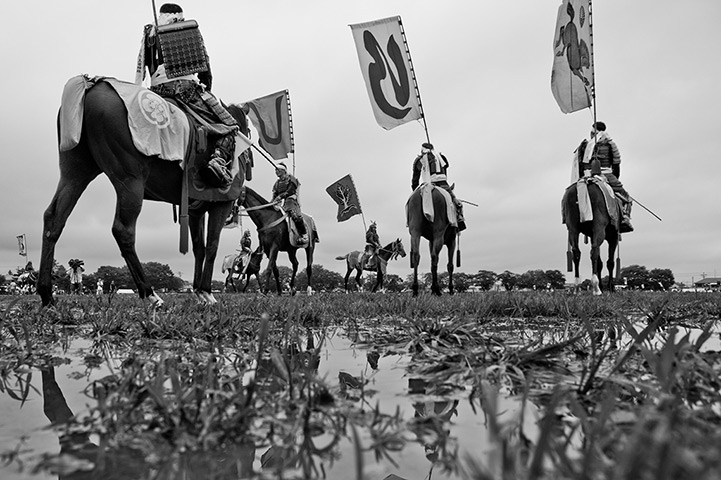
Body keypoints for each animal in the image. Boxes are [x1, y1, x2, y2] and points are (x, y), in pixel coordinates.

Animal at [37, 78, 250, 304]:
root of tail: (91, 87)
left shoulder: (195, 210)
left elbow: (199, 249)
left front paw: (200, 292)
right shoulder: (222, 202)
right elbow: (212, 246)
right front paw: (207, 292)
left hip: (76, 172)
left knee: (54, 219)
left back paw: (46, 294)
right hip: (130, 181)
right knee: (123, 230)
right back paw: (149, 293)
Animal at [564, 159, 620, 294]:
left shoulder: (591, 234)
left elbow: (600, 263)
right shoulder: (613, 237)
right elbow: (610, 262)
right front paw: (610, 287)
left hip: (573, 228)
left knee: (576, 252)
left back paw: (577, 286)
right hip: (599, 227)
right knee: (594, 250)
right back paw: (596, 287)